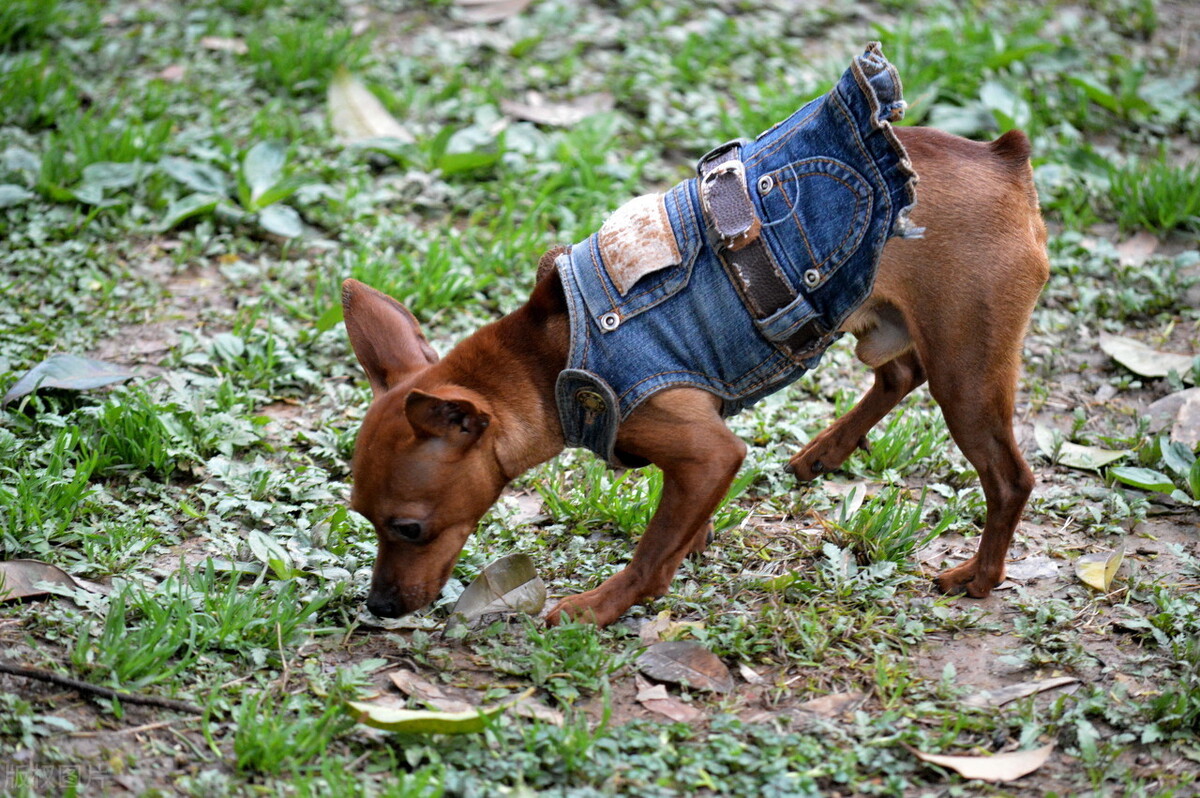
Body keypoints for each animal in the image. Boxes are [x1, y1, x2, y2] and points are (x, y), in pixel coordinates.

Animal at [343, 126, 1046, 624]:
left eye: (409, 529)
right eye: (362, 518)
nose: (379, 606)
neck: (547, 357)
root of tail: (1002, 159)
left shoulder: (706, 450)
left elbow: (652, 556)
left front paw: (598, 608)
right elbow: (677, 524)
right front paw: (696, 536)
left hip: (967, 370)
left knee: (1008, 477)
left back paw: (979, 577)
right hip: (888, 324)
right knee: (900, 372)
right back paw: (824, 452)